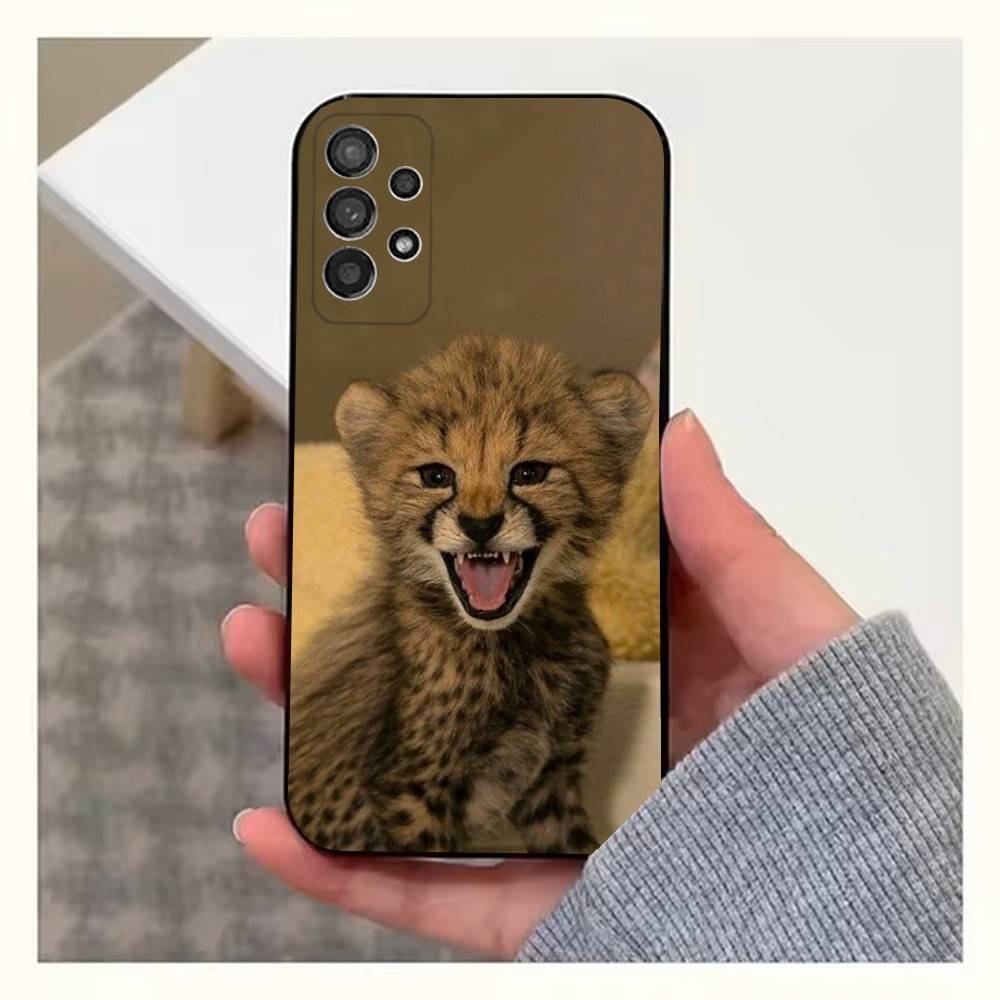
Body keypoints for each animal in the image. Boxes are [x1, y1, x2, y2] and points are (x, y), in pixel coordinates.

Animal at [287, 333, 652, 854]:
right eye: (436, 476)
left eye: (529, 472)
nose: (480, 526)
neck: (515, 642)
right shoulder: (415, 792)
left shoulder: (550, 780)